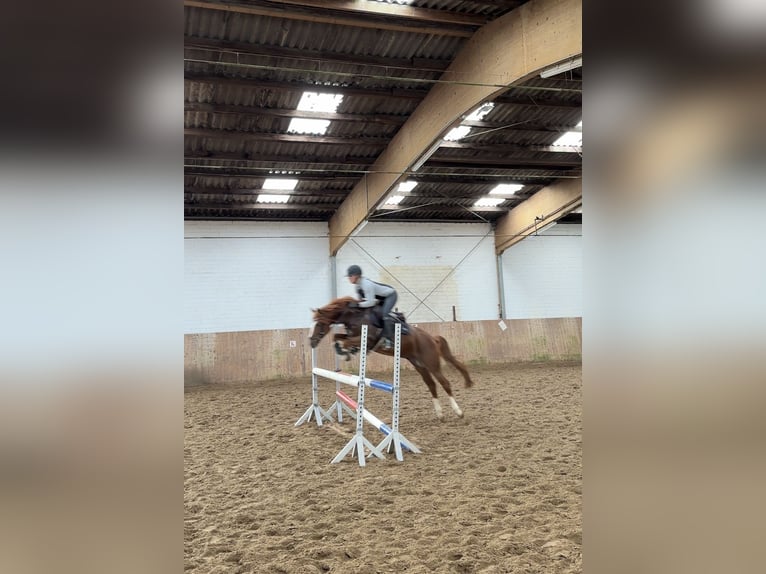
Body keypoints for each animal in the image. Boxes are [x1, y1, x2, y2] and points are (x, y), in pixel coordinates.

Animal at [308, 300, 474, 420]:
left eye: (320, 324)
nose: (311, 342)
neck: (355, 317)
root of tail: (432, 338)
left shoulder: (367, 339)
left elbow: (345, 341)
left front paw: (345, 352)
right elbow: (337, 338)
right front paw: (345, 352)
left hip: (432, 363)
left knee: (444, 383)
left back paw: (459, 412)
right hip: (419, 366)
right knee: (431, 385)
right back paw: (440, 414)